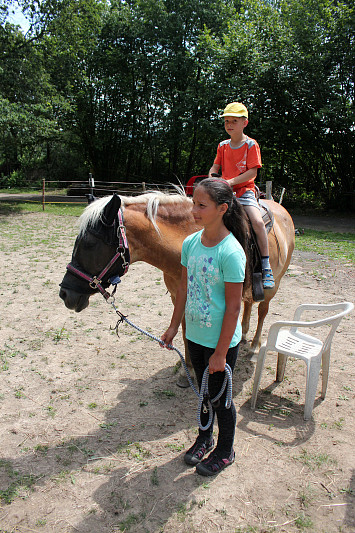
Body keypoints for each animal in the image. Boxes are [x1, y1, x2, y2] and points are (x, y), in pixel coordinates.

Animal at [59, 189, 296, 384]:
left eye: (89, 243)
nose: (64, 293)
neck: (189, 239)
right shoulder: (179, 296)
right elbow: (183, 332)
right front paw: (187, 368)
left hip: (273, 285)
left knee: (262, 311)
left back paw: (255, 346)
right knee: (248, 305)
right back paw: (244, 333)